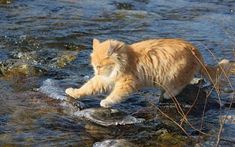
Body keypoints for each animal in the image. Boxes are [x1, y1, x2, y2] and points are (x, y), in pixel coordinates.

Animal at [65, 38, 234, 107]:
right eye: (94, 66)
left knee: (181, 85)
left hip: (174, 74)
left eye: (99, 66)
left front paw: (107, 102)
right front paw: (73, 92)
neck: (125, 60)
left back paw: (168, 94)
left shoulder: (127, 83)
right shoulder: (104, 79)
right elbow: (87, 88)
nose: (96, 71)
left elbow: (116, 95)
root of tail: (197, 52)